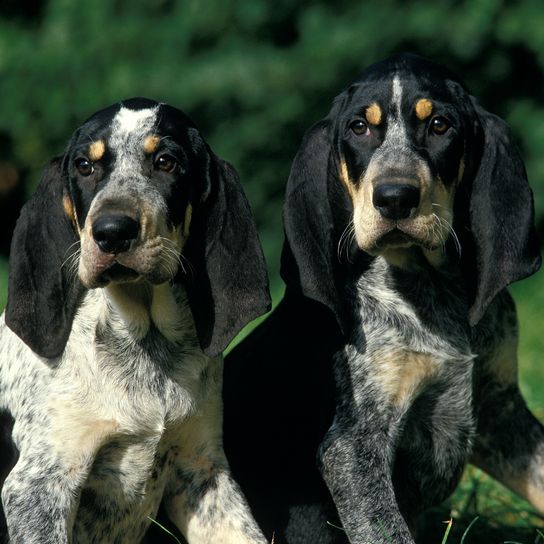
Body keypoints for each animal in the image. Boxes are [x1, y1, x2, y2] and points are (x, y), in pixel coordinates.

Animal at [0, 98, 270, 544]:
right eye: (84, 166)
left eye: (166, 162)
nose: (111, 231)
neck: (145, 342)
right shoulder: (37, 488)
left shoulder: (202, 471)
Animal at [222, 52, 544, 544]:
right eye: (359, 128)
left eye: (440, 125)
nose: (394, 198)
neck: (432, 290)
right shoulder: (354, 447)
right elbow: (385, 529)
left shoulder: (501, 411)